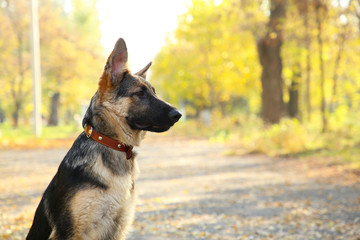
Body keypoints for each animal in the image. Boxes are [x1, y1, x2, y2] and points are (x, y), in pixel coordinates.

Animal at [26, 38, 181, 239]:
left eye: (154, 92)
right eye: (140, 93)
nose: (178, 114)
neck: (111, 143)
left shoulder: (118, 228)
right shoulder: (71, 232)